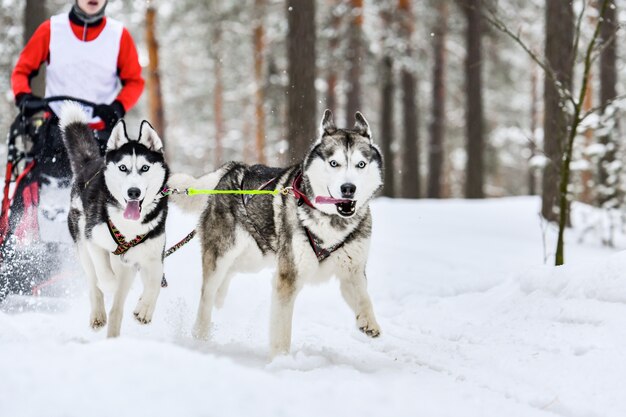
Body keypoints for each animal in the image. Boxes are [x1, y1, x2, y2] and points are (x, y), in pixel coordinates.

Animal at [56, 101, 166, 338]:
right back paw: (99, 313)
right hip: (82, 246)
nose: (133, 192)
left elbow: (154, 283)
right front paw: (111, 285)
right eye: (123, 167)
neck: (129, 227)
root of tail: (91, 162)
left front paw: (144, 309)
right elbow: (104, 275)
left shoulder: (153, 256)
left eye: (144, 168)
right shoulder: (94, 241)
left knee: (119, 304)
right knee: (93, 282)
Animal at [171, 110, 382, 354]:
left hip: (254, 257)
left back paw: (220, 296)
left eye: (361, 164)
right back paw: (201, 335)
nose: (348, 188)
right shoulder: (287, 277)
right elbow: (281, 331)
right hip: (223, 253)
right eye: (334, 163)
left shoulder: (352, 272)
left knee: (229, 274)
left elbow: (364, 298)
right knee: (207, 294)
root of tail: (234, 168)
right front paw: (281, 359)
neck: (331, 222)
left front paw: (369, 322)